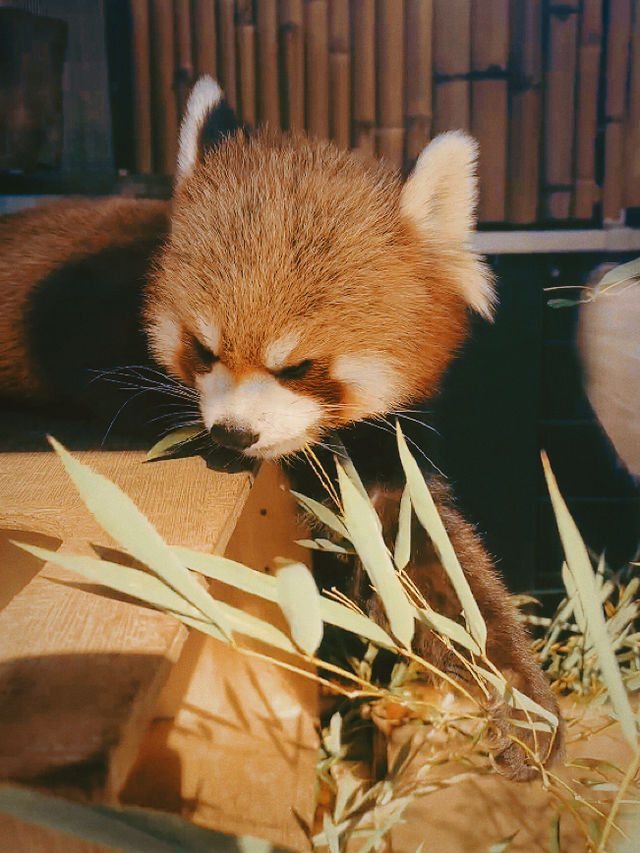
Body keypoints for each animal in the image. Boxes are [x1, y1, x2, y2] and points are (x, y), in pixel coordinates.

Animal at [0, 76, 560, 776]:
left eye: (297, 367)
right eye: (204, 350)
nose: (233, 434)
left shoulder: (378, 452)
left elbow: (427, 555)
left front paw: (519, 698)